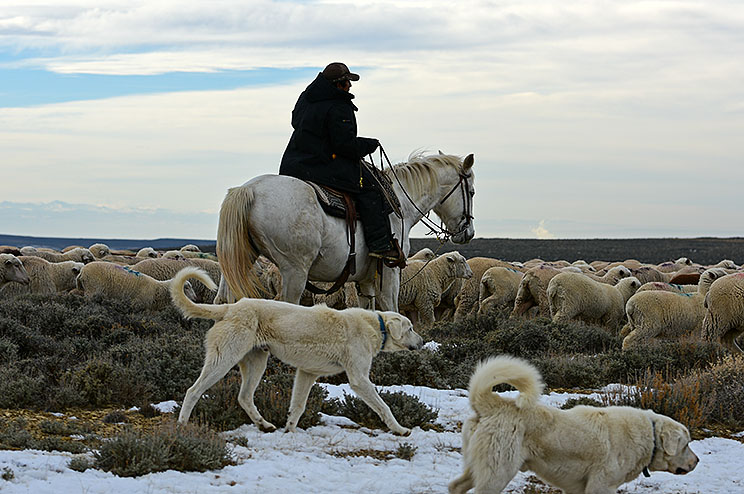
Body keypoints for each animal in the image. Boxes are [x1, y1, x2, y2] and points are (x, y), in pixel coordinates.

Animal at [171, 268, 422, 434]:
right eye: (410, 328)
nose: (421, 342)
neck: (376, 325)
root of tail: (230, 308)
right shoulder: (359, 379)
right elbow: (383, 406)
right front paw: (400, 429)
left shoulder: (307, 373)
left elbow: (298, 406)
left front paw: (289, 430)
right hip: (224, 359)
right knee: (193, 391)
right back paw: (182, 426)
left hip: (256, 362)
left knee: (244, 397)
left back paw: (264, 424)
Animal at [215, 152, 474, 310]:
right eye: (471, 191)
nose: (468, 233)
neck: (400, 204)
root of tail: (248, 190)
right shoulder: (390, 271)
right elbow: (391, 308)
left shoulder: (365, 279)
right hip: (294, 270)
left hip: (241, 259)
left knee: (225, 301)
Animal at [450, 356, 700, 494]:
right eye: (686, 444)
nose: (697, 461)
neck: (650, 435)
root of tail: (491, 404)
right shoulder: (601, 487)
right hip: (498, 473)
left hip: (480, 467)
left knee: (456, 486)